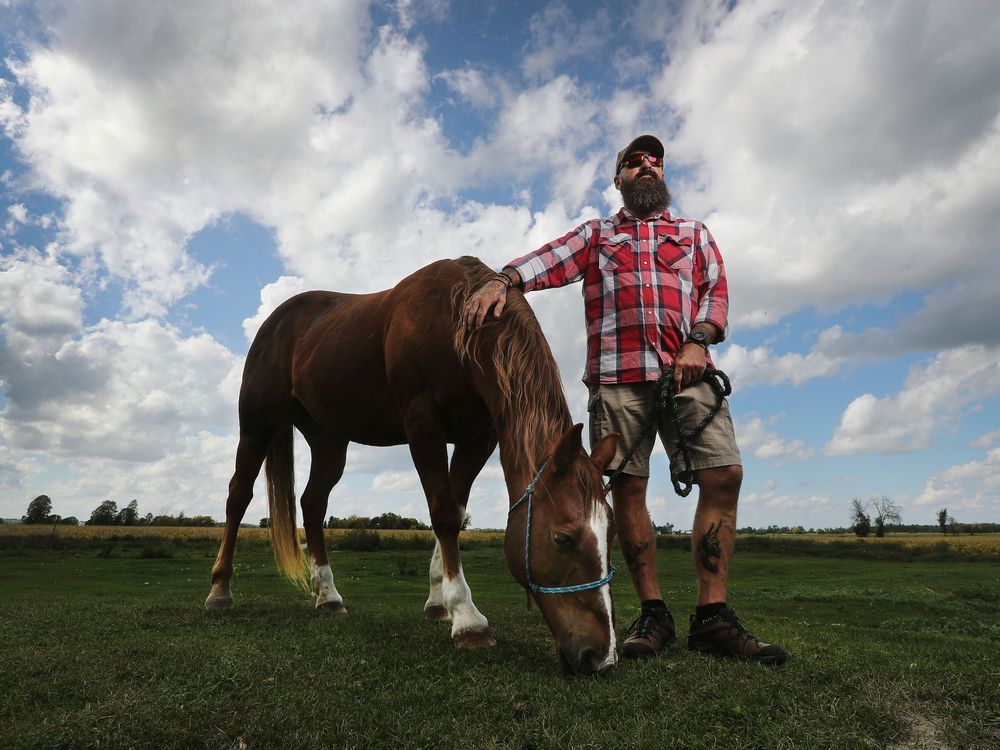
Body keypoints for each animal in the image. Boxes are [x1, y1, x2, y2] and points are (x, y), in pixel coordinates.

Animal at [205, 258, 616, 676]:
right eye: (562, 538)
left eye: (610, 534)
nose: (601, 656)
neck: (455, 320)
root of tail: (277, 320)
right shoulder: (424, 426)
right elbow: (444, 515)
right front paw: (468, 619)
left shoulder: (478, 438)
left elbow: (456, 512)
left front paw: (438, 602)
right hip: (257, 426)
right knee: (238, 497)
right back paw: (219, 592)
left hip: (328, 440)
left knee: (313, 504)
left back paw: (328, 596)